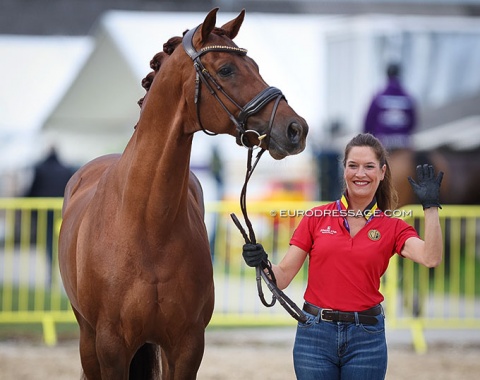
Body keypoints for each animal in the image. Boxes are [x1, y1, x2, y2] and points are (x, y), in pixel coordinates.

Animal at [59, 8, 308, 380]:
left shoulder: (187, 346)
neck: (147, 226)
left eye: (256, 66)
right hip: (88, 342)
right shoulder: (111, 348)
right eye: (227, 69)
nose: (296, 129)